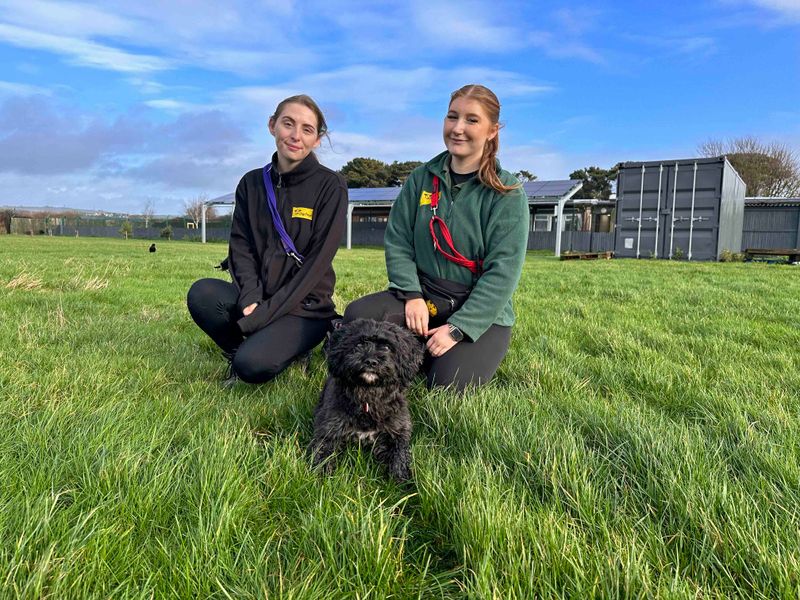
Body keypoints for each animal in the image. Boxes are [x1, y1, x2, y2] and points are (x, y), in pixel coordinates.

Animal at [310, 318, 424, 482]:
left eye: (387, 347)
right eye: (359, 344)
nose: (370, 361)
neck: (368, 396)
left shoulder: (397, 432)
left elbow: (400, 458)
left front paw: (404, 483)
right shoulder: (329, 431)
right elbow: (322, 454)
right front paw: (319, 478)